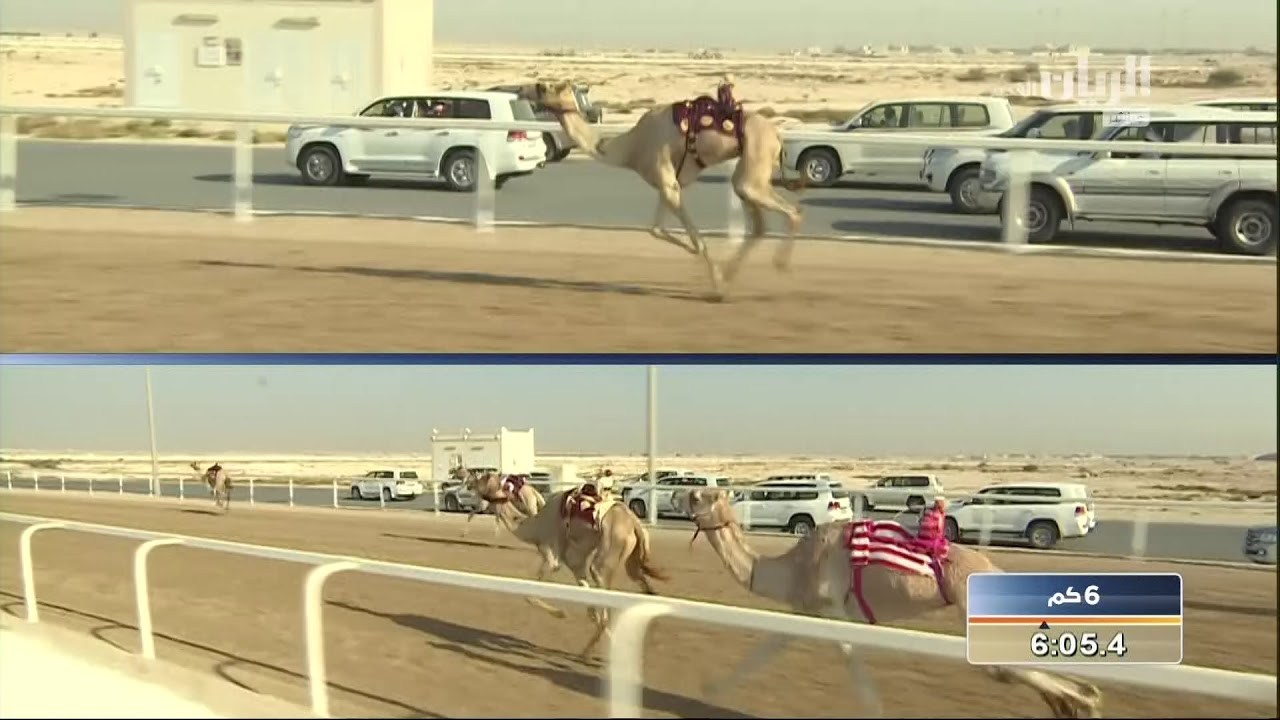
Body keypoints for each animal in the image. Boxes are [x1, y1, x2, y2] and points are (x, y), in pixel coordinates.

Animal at [531, 78, 806, 301]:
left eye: (544, 87)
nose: (527, 89)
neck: (629, 148)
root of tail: (778, 137)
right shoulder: (668, 185)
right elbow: (656, 229)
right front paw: (714, 276)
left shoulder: (667, 181)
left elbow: (696, 241)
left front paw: (716, 287)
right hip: (749, 172)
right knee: (759, 225)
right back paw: (733, 275)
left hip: (754, 163)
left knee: (792, 211)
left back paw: (778, 265)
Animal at [677, 489, 1103, 719]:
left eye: (700, 495)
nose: (680, 494)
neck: (793, 568)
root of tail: (993, 568)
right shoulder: (806, 611)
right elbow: (763, 653)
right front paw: (712, 689)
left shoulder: (834, 612)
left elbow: (859, 678)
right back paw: (1076, 701)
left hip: (969, 603)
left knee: (1000, 666)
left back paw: (1087, 701)